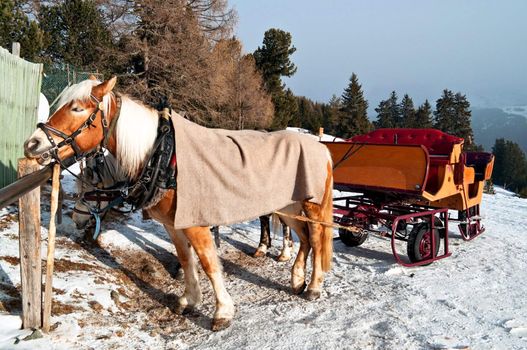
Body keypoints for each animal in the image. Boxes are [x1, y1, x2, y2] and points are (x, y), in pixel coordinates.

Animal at [23, 76, 334, 330]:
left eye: (77, 108)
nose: (32, 144)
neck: (162, 157)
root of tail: (320, 147)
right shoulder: (173, 224)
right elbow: (186, 259)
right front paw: (189, 300)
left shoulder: (196, 223)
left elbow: (208, 263)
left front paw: (222, 312)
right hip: (290, 207)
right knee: (305, 239)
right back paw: (297, 279)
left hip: (312, 207)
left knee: (318, 240)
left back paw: (314, 286)